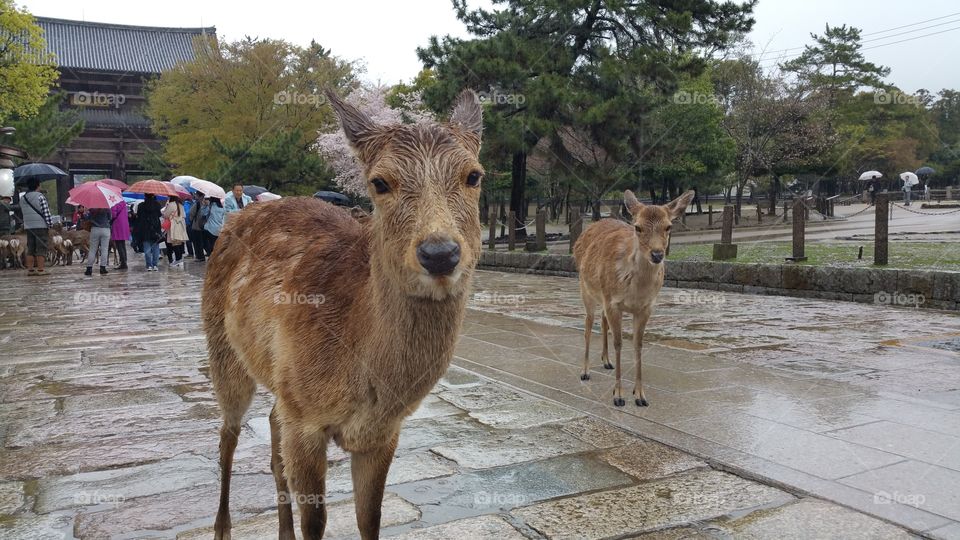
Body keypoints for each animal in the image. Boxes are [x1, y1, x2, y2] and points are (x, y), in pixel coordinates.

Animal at [205, 89, 484, 540]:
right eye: (380, 181)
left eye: (473, 175)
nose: (439, 253)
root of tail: (237, 217)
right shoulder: (305, 422)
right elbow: (316, 523)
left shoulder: (381, 433)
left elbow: (370, 520)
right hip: (221, 347)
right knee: (228, 433)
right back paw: (222, 529)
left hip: (279, 383)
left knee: (270, 425)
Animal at [572, 190, 692, 404]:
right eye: (637, 227)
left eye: (668, 226)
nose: (657, 254)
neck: (636, 290)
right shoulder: (613, 303)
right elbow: (619, 343)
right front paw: (618, 395)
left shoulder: (645, 307)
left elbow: (638, 344)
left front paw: (640, 395)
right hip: (585, 289)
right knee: (588, 324)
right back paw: (585, 371)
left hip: (602, 297)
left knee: (602, 320)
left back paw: (607, 361)